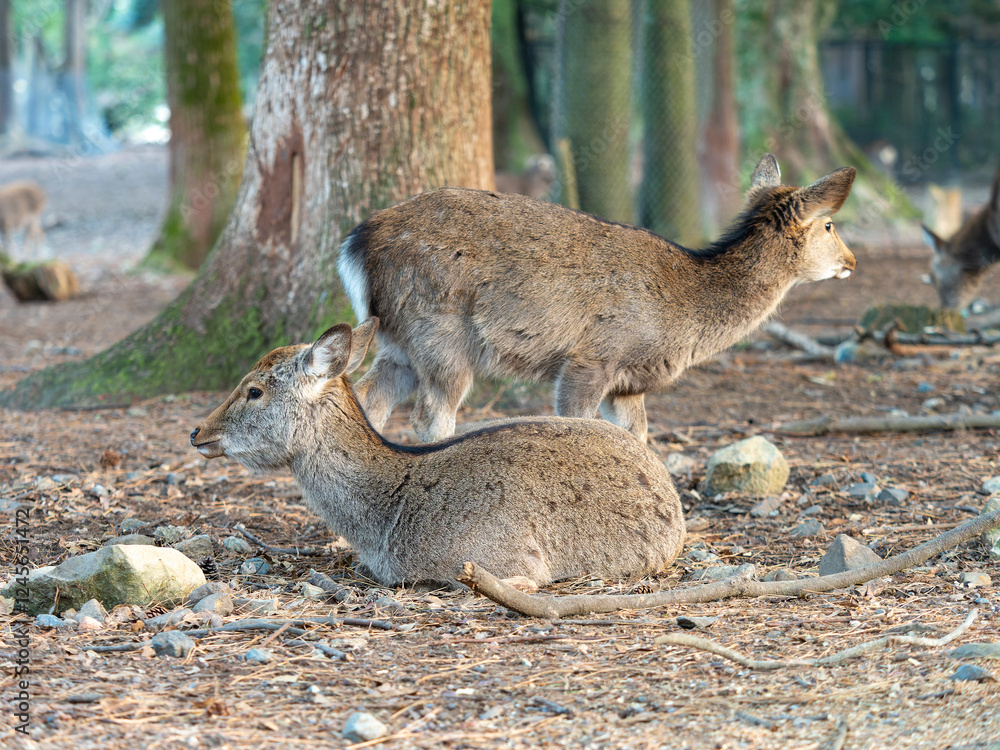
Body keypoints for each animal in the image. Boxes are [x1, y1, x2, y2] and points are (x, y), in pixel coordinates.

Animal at [340, 155, 856, 444]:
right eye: (830, 224)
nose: (851, 261)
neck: (685, 313)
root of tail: (356, 244)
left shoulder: (629, 382)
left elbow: (638, 438)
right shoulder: (593, 356)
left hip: (398, 341)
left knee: (366, 398)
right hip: (440, 332)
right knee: (430, 417)